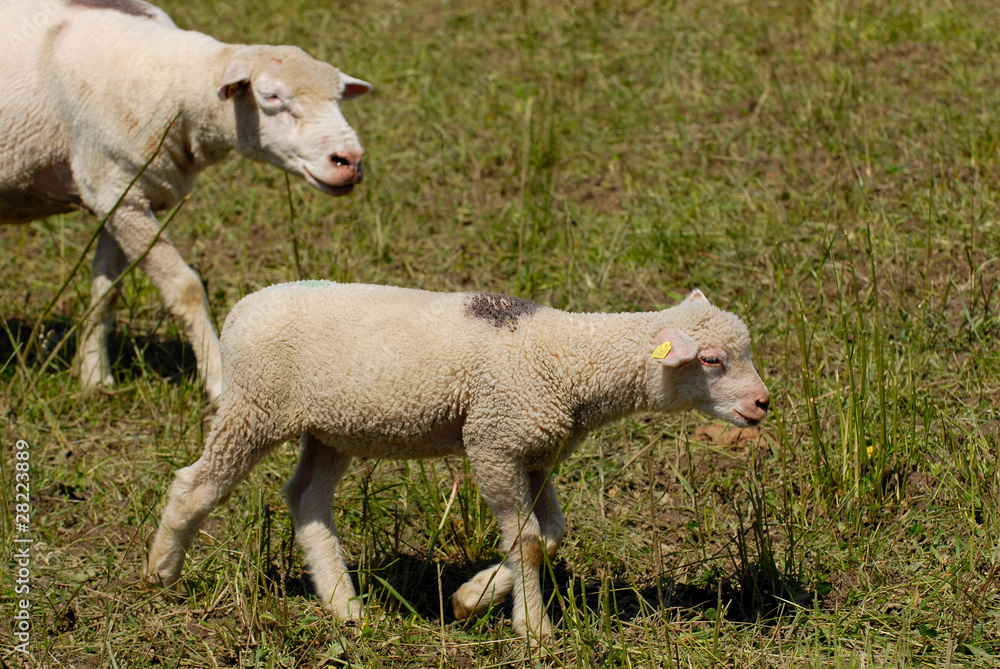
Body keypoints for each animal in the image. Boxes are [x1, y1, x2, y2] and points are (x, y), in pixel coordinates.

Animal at [0, 0, 371, 406]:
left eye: (338, 98)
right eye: (271, 97)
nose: (350, 161)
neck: (175, 82)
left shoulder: (121, 194)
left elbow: (106, 292)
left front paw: (95, 376)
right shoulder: (116, 189)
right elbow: (186, 288)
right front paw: (219, 380)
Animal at [145, 281, 770, 642]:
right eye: (710, 360)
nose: (763, 402)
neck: (569, 359)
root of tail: (241, 309)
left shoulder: (537, 451)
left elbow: (551, 534)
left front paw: (473, 598)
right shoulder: (494, 441)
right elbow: (526, 541)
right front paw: (534, 629)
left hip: (331, 426)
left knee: (307, 499)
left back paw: (345, 606)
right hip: (255, 405)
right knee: (197, 485)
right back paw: (161, 571)